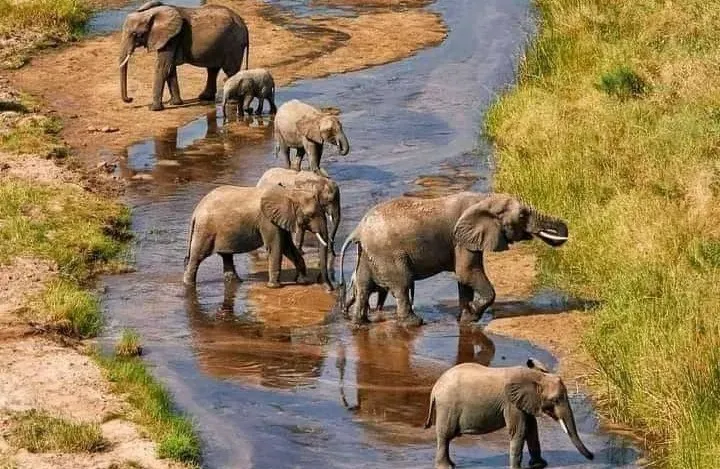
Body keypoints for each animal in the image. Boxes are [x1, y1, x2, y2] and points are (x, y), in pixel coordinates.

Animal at [119, 1, 249, 111]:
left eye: (136, 34)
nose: (130, 99)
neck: (153, 13)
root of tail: (243, 24)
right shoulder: (169, 38)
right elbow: (170, 67)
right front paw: (174, 103)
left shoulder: (172, 38)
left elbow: (163, 67)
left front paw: (153, 109)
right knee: (212, 69)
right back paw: (204, 97)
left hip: (233, 45)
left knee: (230, 71)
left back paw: (231, 102)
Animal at [183, 184, 334, 291]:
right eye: (310, 215)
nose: (329, 289)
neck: (289, 193)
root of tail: (196, 211)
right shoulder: (267, 221)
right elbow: (276, 246)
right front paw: (274, 287)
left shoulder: (281, 218)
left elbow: (287, 246)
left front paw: (303, 281)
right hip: (205, 230)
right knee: (197, 257)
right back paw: (188, 285)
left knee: (226, 256)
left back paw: (237, 282)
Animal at [338, 192, 568, 326]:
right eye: (522, 216)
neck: (484, 200)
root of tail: (358, 230)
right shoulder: (460, 239)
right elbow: (467, 273)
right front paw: (473, 314)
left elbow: (464, 278)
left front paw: (465, 318)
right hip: (388, 253)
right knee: (403, 284)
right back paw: (415, 323)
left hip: (369, 253)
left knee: (364, 284)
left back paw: (360, 322)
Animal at [424, 358, 594, 469]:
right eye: (556, 400)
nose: (592, 457)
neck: (537, 377)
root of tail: (435, 388)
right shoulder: (511, 403)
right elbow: (519, 431)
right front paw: (518, 468)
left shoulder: (524, 402)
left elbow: (532, 429)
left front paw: (539, 465)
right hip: (447, 406)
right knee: (445, 435)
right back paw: (446, 467)